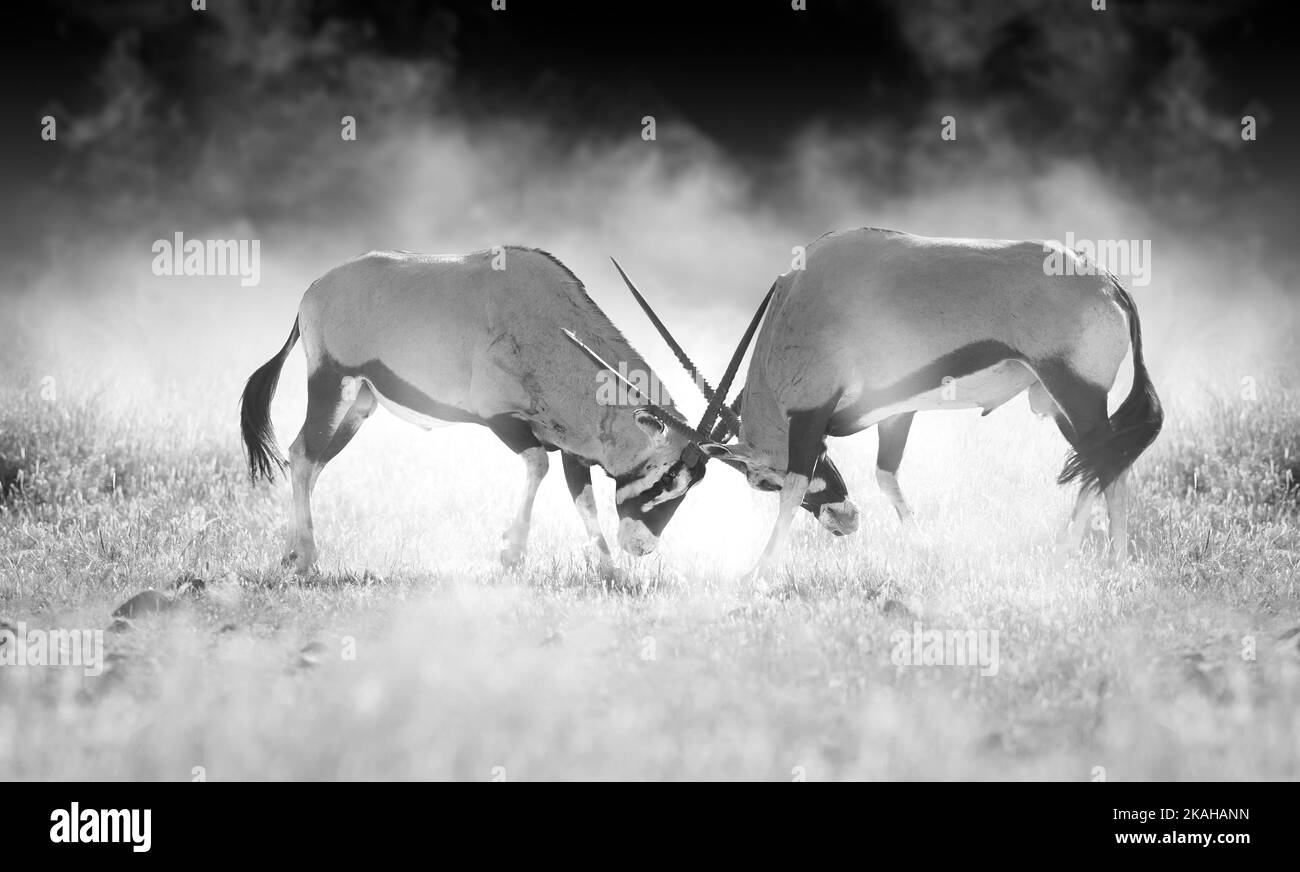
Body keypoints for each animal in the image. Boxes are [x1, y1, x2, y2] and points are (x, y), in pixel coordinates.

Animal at [240, 246, 759, 571]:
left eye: (691, 484)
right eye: (664, 475)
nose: (642, 547)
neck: (550, 327)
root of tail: (314, 288)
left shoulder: (574, 448)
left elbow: (583, 500)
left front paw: (609, 572)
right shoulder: (503, 421)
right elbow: (537, 466)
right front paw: (513, 554)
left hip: (360, 404)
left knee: (314, 462)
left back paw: (294, 552)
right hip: (333, 385)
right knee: (303, 455)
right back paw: (306, 559)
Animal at [613, 228, 1164, 577]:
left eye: (760, 481)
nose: (845, 520)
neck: (796, 304)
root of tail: (1109, 283)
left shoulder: (809, 416)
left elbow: (797, 488)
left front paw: (758, 574)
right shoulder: (895, 411)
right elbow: (886, 475)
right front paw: (926, 554)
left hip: (1077, 395)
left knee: (1106, 466)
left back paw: (1102, 564)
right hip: (1058, 404)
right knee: (1102, 465)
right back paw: (1076, 558)